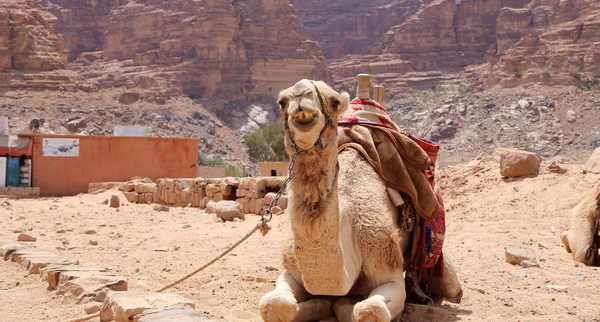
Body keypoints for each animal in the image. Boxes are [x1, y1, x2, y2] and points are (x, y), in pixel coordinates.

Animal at [260, 78, 462, 322]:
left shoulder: (388, 269)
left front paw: (340, 303)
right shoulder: (291, 270)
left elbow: (368, 310)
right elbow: (274, 304)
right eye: (282, 102)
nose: (301, 93)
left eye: (334, 102)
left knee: (450, 284)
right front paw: (319, 304)